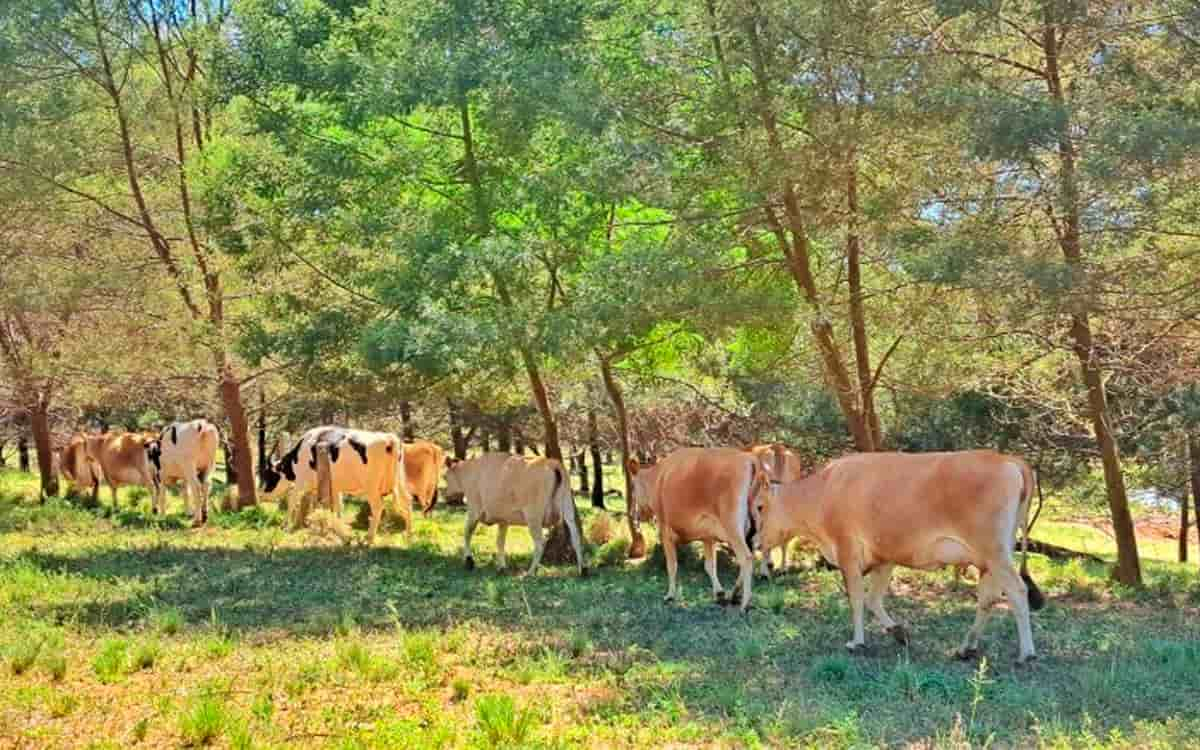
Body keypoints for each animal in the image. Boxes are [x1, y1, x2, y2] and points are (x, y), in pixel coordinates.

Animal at [444, 453, 588, 576]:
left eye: (445, 477)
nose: (446, 495)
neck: (469, 471)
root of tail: (551, 462)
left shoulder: (474, 510)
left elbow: (467, 533)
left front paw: (469, 561)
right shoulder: (503, 520)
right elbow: (500, 542)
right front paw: (502, 567)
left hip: (533, 516)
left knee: (540, 543)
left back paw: (530, 572)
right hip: (568, 507)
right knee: (576, 537)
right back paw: (582, 569)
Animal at [624, 444, 763, 609]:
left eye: (633, 486)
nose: (636, 514)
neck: (658, 478)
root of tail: (748, 458)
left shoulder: (665, 530)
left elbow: (672, 565)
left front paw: (670, 595)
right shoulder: (708, 536)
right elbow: (710, 565)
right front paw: (719, 593)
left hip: (732, 526)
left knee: (746, 558)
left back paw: (745, 603)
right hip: (752, 528)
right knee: (750, 555)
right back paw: (734, 594)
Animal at [753, 444, 1046, 662]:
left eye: (758, 506)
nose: (754, 541)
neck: (824, 491)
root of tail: (1007, 459)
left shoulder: (847, 550)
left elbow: (857, 599)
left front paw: (857, 642)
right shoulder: (885, 557)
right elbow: (873, 599)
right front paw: (898, 632)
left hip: (994, 552)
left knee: (1017, 591)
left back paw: (1026, 653)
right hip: (991, 558)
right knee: (988, 598)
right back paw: (966, 648)